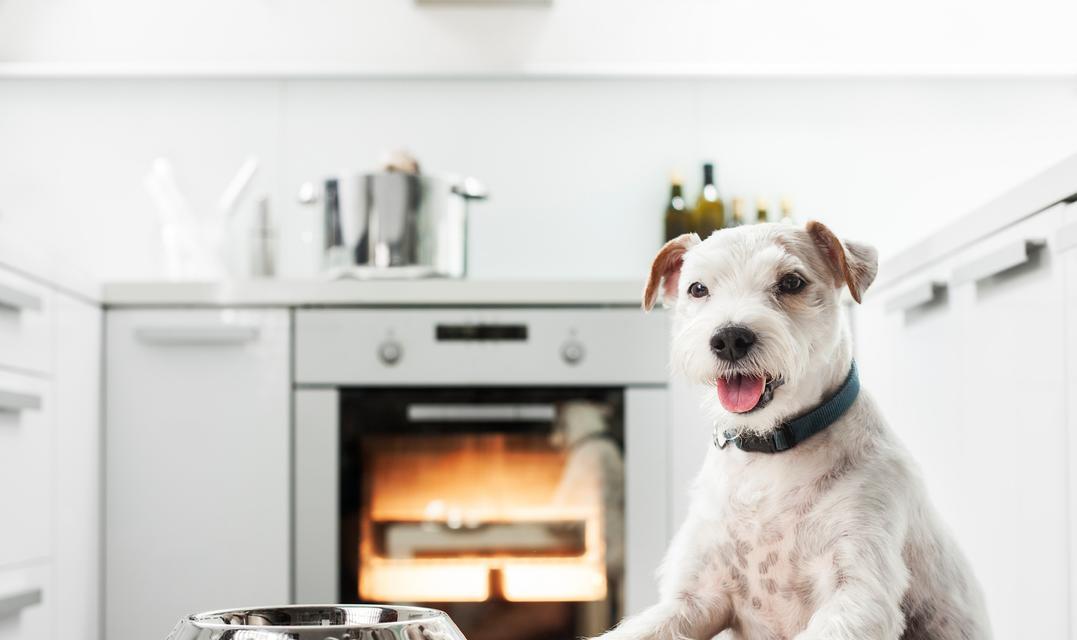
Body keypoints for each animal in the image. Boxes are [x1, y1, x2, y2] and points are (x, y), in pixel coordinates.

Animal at [594, 220, 986, 637]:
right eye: (697, 288)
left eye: (791, 282)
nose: (729, 338)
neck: (770, 455)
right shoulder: (695, 597)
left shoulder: (856, 593)